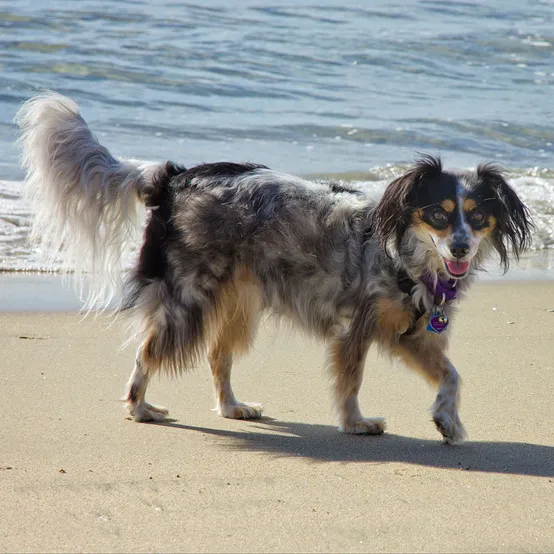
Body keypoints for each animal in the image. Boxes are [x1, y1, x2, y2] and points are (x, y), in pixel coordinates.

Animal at [15, 92, 528, 442]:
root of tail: (175, 177)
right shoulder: (358, 329)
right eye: (438, 214)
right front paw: (355, 422)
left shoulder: (411, 333)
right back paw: (140, 408)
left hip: (238, 304)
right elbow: (352, 380)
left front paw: (448, 419)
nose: (460, 248)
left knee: (217, 356)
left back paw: (231, 407)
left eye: (477, 217)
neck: (405, 255)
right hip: (188, 299)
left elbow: (452, 375)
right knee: (147, 353)